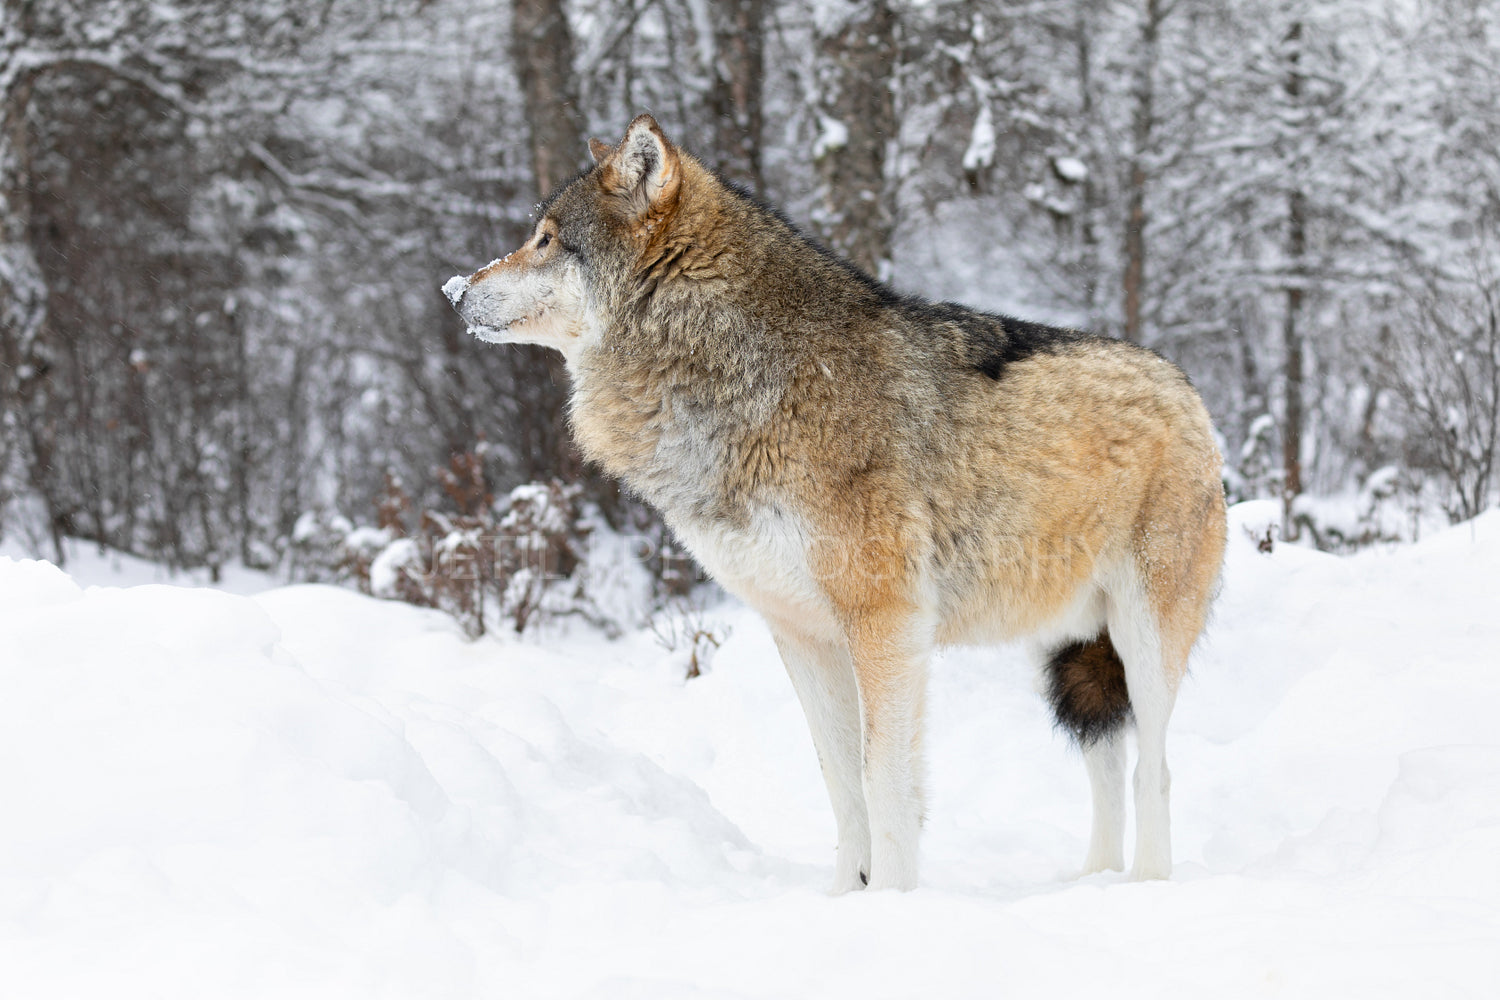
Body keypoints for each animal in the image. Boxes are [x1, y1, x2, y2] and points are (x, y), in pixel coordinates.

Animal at [438, 115, 1224, 893]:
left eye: (545, 239)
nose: (452, 290)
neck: (738, 373)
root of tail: (1187, 388)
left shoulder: (886, 625)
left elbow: (885, 786)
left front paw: (896, 903)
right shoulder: (802, 633)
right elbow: (843, 788)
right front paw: (849, 898)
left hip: (1141, 640)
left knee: (1156, 772)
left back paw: (1145, 888)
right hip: (1064, 650)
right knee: (1108, 769)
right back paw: (1093, 882)